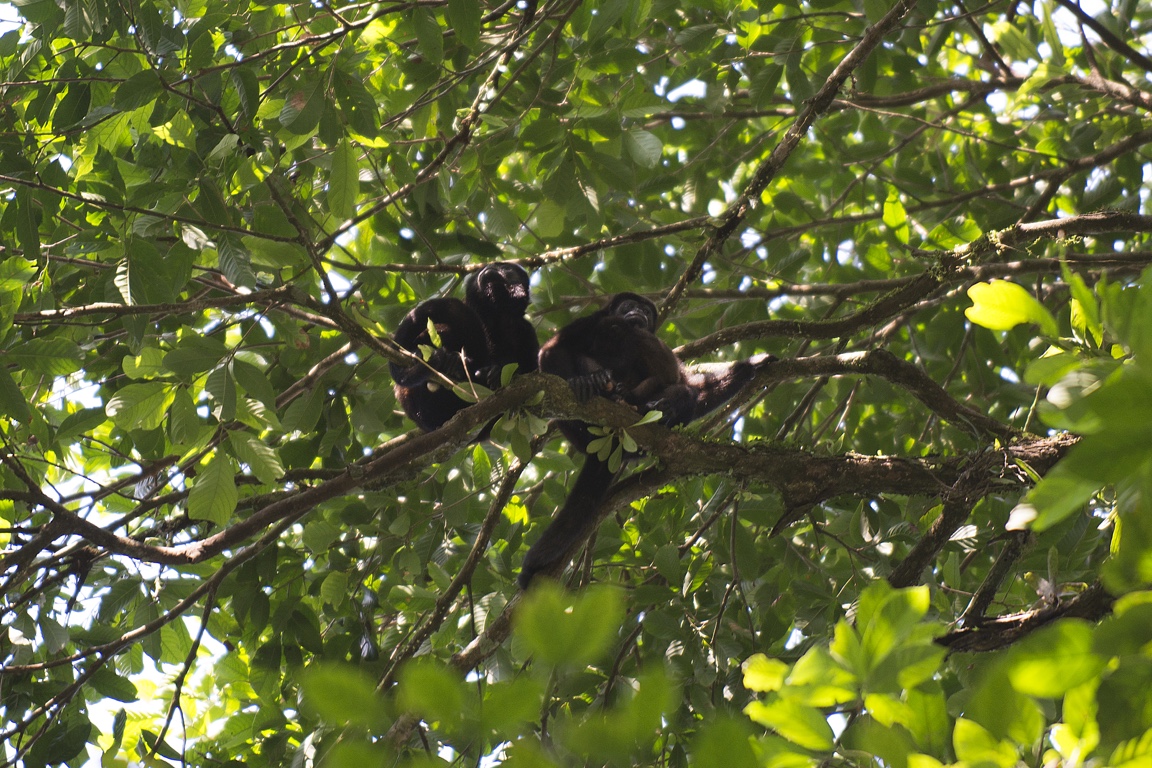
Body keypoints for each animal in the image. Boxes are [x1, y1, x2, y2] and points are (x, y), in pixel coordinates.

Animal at [389, 262, 536, 432]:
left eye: (507, 269)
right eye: (492, 265)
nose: (491, 268)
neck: (493, 311)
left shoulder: (526, 329)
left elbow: (533, 374)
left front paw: (499, 371)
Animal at [520, 294, 774, 589]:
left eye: (645, 310)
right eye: (630, 304)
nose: (637, 312)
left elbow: (690, 385)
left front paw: (751, 365)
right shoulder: (590, 322)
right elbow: (552, 350)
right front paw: (582, 380)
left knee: (681, 390)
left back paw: (655, 405)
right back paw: (601, 386)